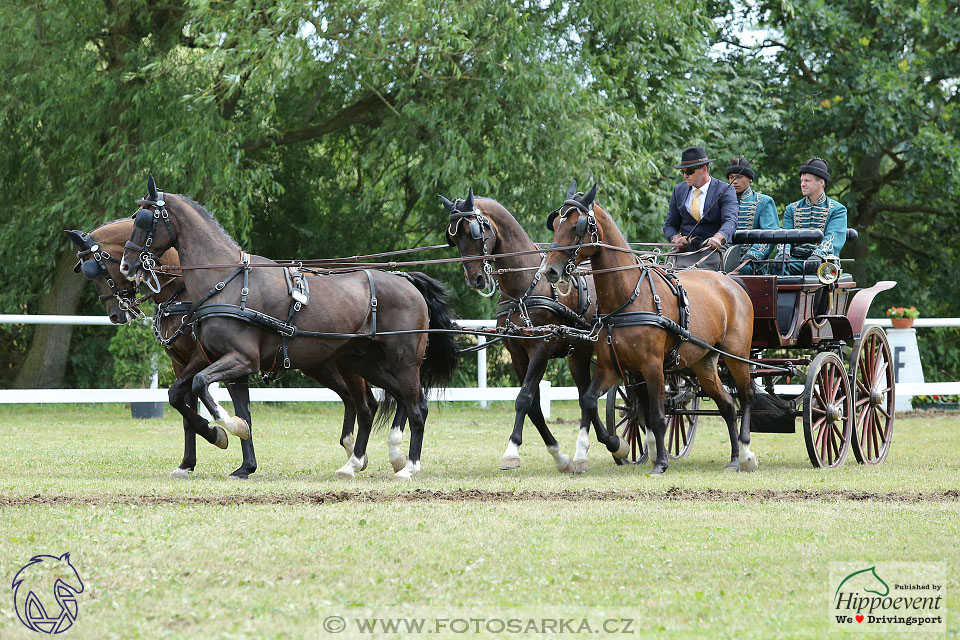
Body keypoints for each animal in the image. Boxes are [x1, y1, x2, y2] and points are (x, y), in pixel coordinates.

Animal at [63, 222, 376, 478]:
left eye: (97, 270)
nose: (116, 314)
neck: (185, 289)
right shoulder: (181, 363)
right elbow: (188, 409)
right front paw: (188, 463)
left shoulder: (203, 359)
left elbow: (182, 396)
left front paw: (217, 434)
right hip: (320, 364)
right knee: (353, 399)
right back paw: (352, 450)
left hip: (344, 364)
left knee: (364, 403)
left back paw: (357, 456)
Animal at [119, 176, 458, 480]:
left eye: (146, 219)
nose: (126, 265)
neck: (227, 281)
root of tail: (407, 281)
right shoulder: (220, 361)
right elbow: (202, 398)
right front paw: (241, 460)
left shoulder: (242, 359)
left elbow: (202, 386)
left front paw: (228, 431)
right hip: (363, 363)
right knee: (383, 404)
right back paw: (357, 463)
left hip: (403, 361)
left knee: (416, 407)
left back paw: (409, 466)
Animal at [444, 188, 608, 472]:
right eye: (453, 237)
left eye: (474, 232)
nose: (476, 279)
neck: (525, 287)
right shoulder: (517, 353)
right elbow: (533, 405)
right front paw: (559, 455)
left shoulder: (542, 348)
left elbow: (524, 397)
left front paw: (511, 451)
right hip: (578, 352)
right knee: (585, 393)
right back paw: (609, 442)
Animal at [544, 182, 760, 472]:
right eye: (555, 223)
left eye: (577, 226)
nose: (550, 271)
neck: (629, 296)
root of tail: (730, 280)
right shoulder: (612, 366)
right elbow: (590, 400)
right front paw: (597, 450)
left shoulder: (652, 366)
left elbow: (657, 415)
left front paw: (660, 462)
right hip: (704, 362)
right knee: (727, 405)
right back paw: (735, 459)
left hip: (737, 356)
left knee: (746, 396)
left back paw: (746, 453)